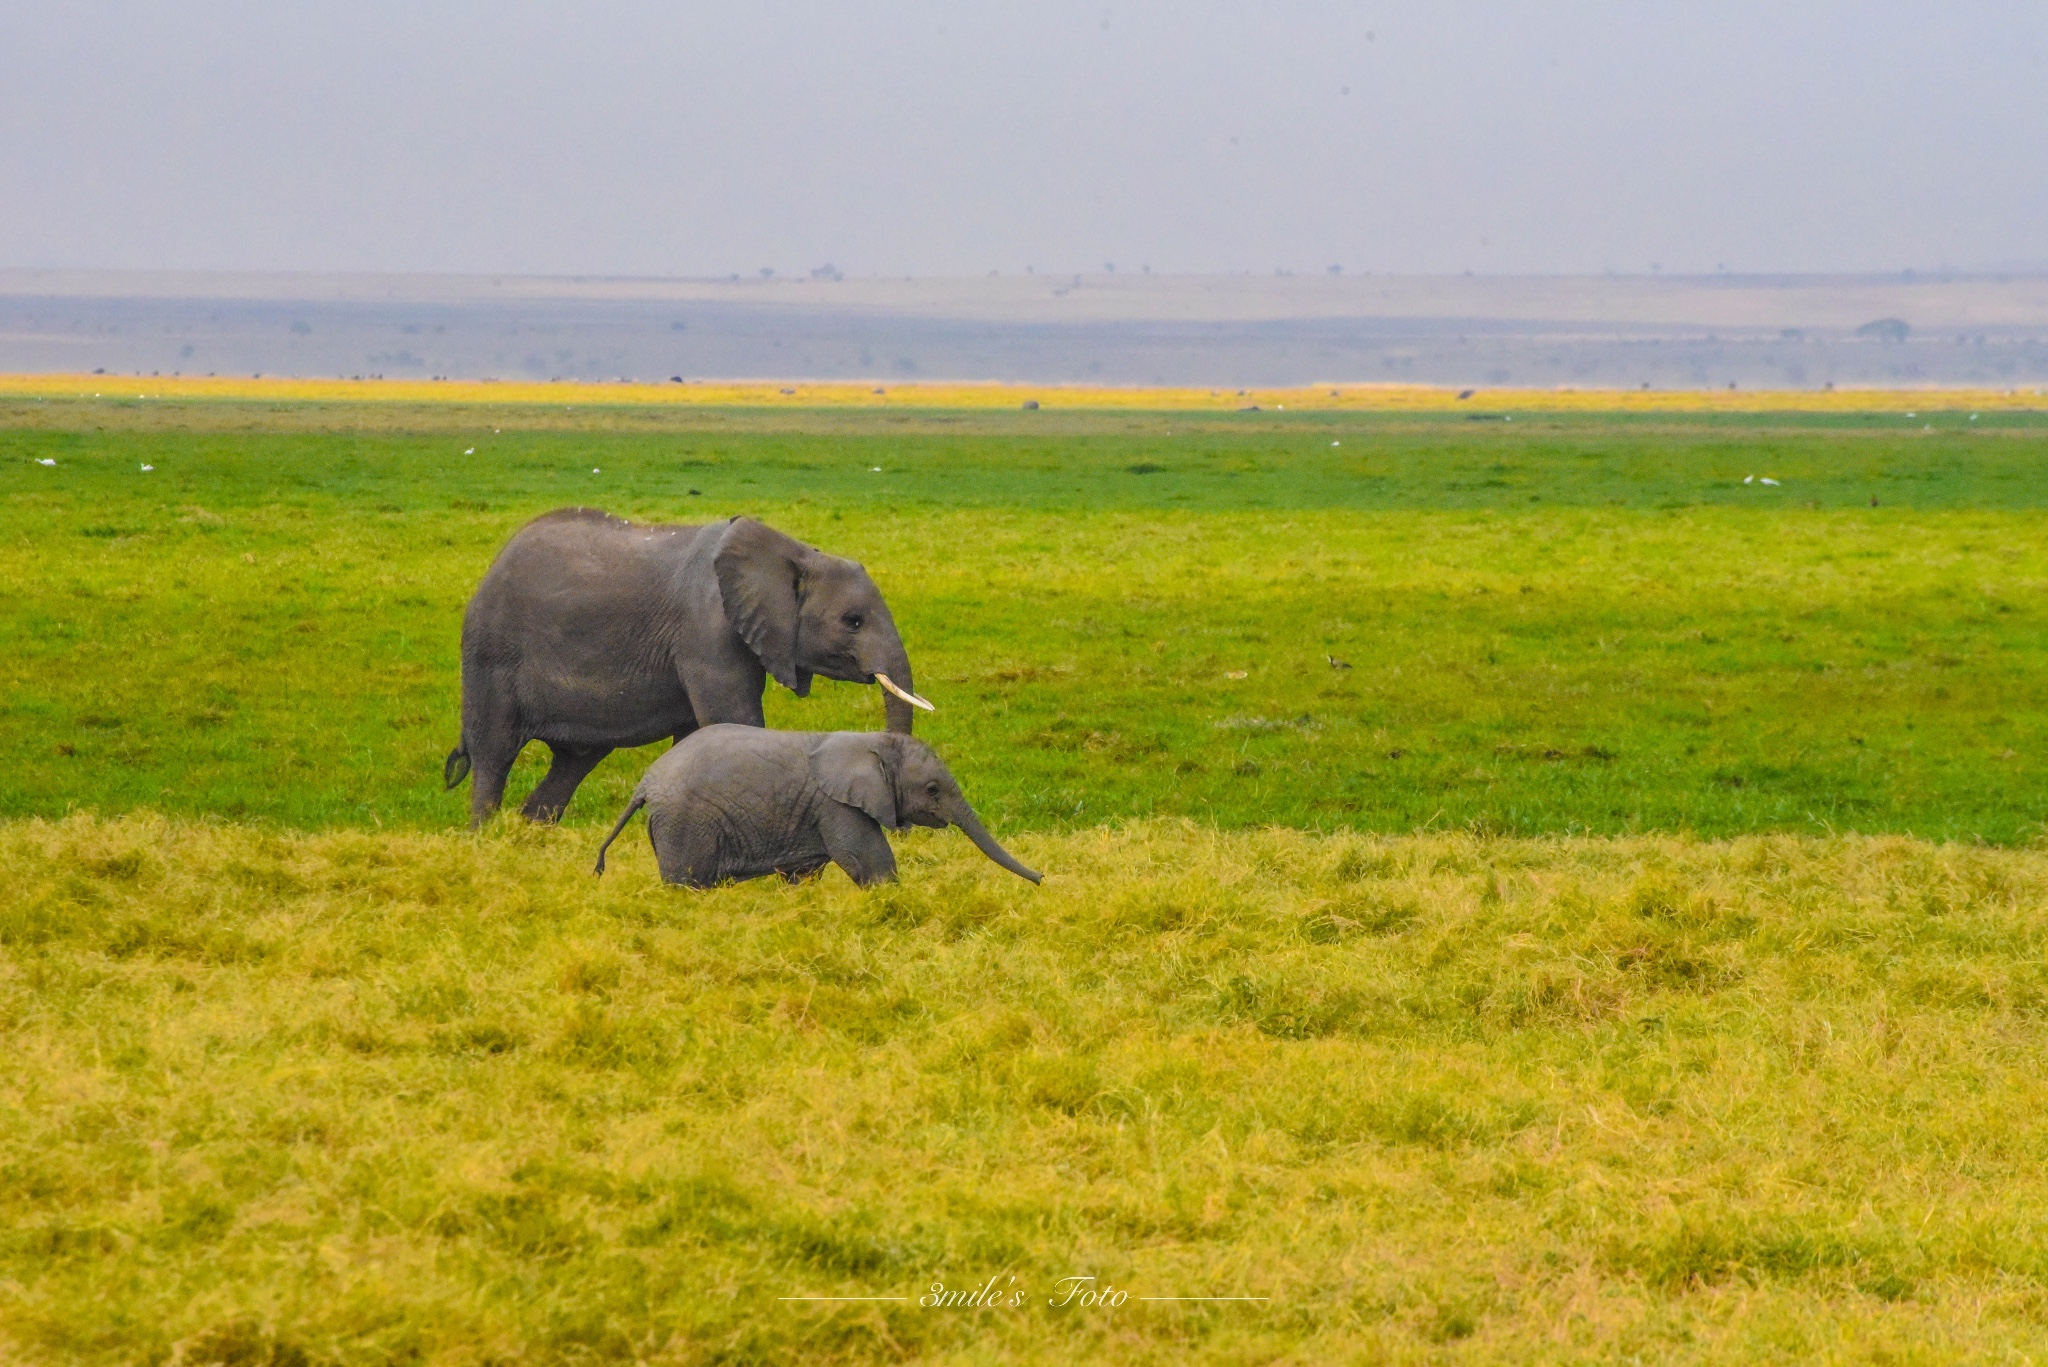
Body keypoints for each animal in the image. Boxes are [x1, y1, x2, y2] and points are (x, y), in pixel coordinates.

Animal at [452, 510, 933, 823]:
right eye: (853, 621)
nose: (901, 825)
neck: (792, 555)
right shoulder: (708, 632)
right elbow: (733, 720)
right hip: (490, 656)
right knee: (494, 754)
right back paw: (487, 836)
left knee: (573, 761)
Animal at [593, 725, 1040, 889]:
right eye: (932, 790)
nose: (1041, 880)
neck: (871, 741)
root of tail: (645, 782)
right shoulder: (837, 806)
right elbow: (870, 861)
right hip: (686, 822)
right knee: (686, 880)